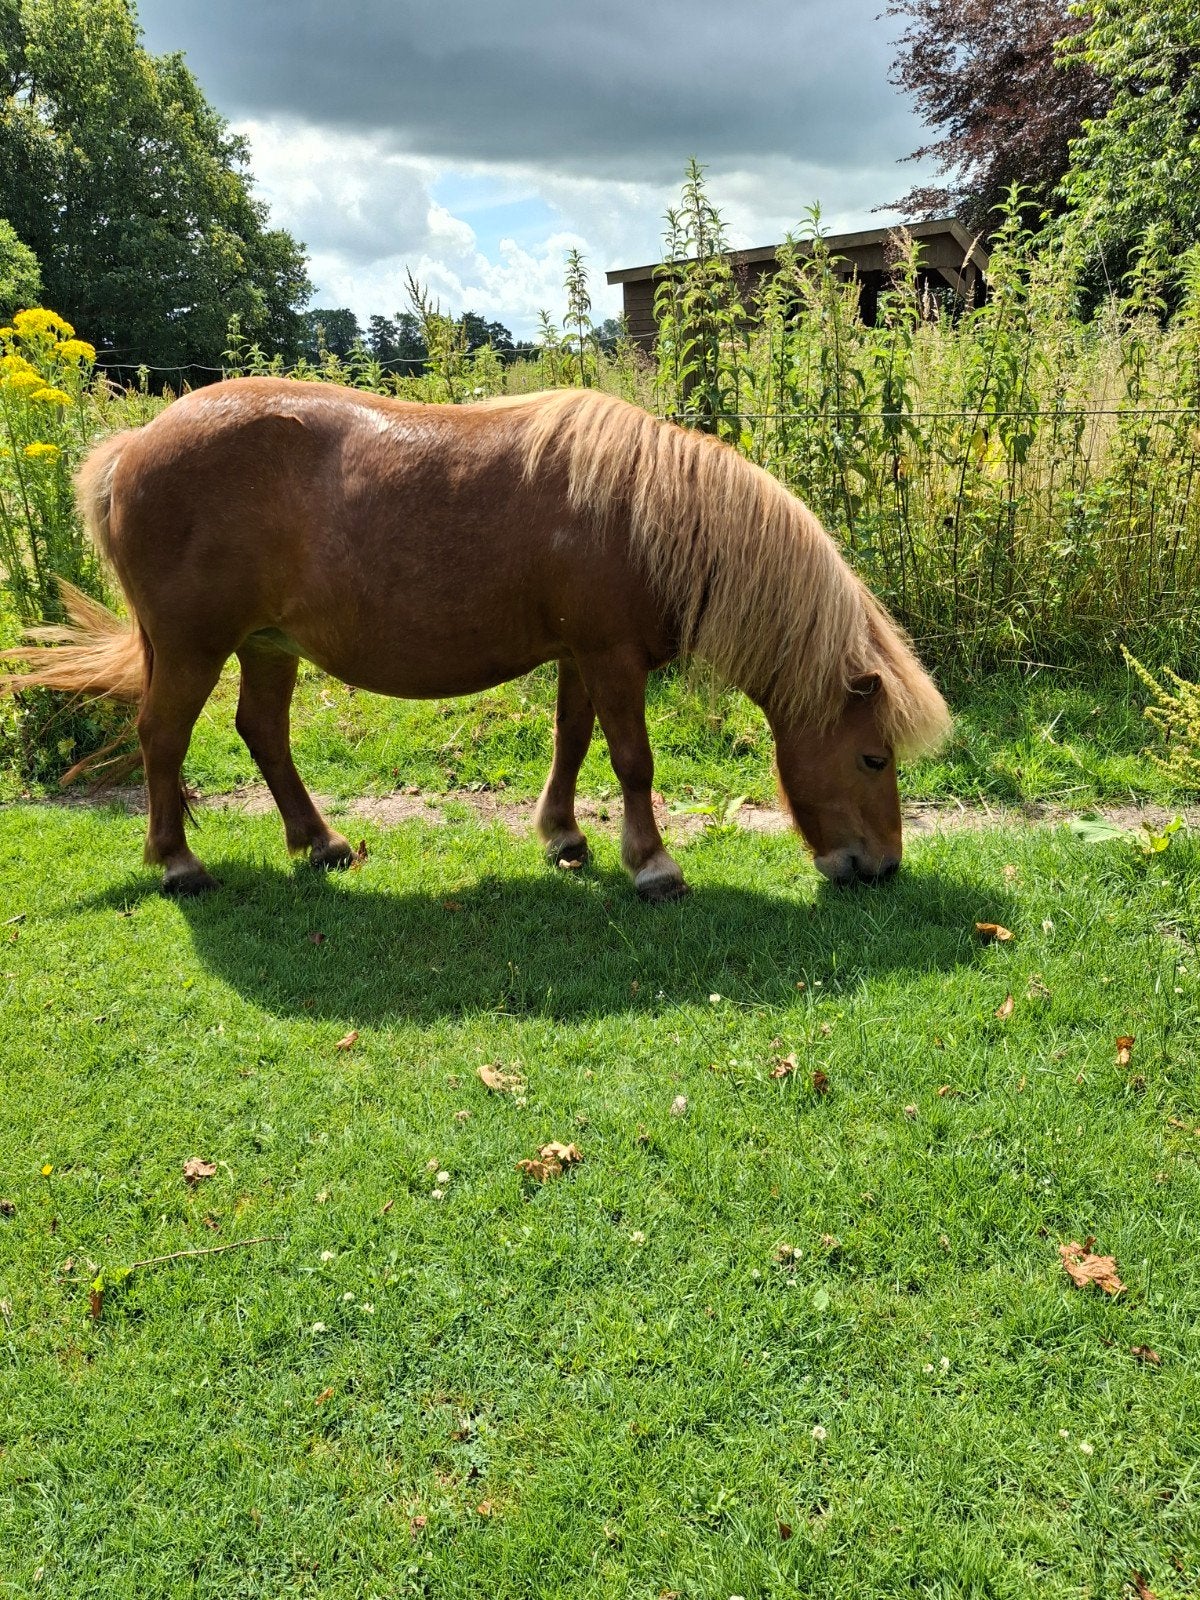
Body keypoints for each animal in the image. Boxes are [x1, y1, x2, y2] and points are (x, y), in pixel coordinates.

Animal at [2, 380, 950, 898]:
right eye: (874, 757)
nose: (881, 867)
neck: (646, 513)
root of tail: (132, 447)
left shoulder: (581, 657)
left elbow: (573, 744)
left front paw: (564, 839)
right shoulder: (611, 659)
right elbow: (633, 761)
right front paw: (652, 865)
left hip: (269, 646)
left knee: (262, 734)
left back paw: (321, 844)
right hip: (193, 646)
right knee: (163, 737)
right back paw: (178, 863)